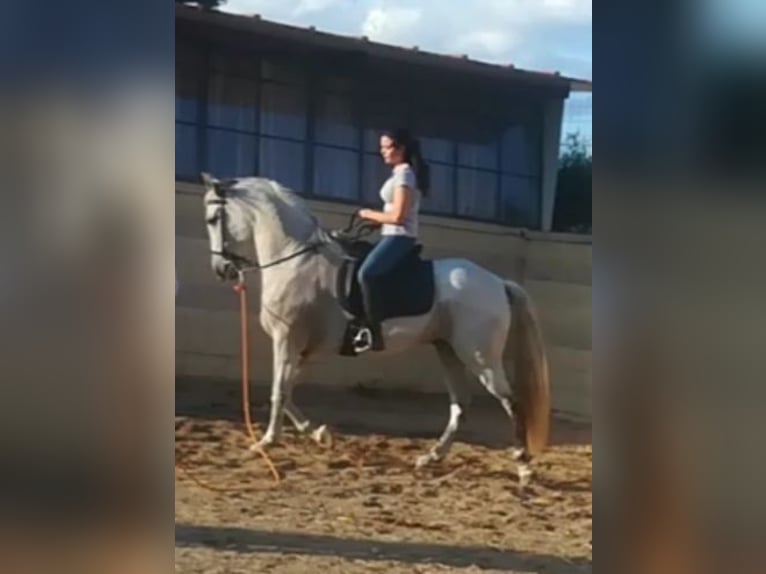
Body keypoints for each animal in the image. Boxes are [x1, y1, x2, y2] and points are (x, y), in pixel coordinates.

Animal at [202, 173, 552, 484]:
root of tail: (498, 283)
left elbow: (278, 392)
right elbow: (287, 391)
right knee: (460, 406)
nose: (221, 269)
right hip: (448, 350)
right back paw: (430, 458)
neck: (295, 257)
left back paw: (523, 468)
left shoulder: (287, 339)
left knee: (512, 402)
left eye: (213, 218)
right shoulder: (306, 348)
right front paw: (319, 435)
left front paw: (266, 442)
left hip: (479, 356)